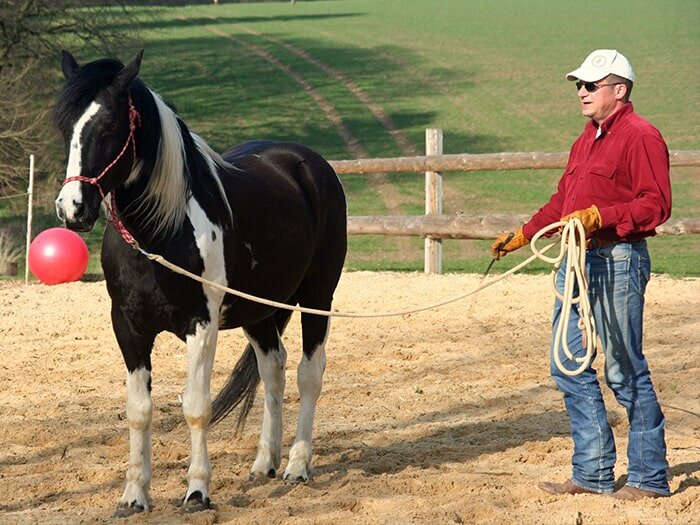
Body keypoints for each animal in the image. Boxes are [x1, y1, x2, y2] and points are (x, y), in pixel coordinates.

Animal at [54, 50, 347, 516]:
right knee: (273, 370)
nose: (72, 209)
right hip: (259, 311)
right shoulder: (128, 327)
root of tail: (310, 165)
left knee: (308, 374)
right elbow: (138, 410)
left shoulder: (201, 326)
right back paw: (264, 463)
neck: (161, 229)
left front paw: (197, 491)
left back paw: (298, 466)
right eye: (66, 127)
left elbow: (195, 407)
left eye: (109, 125)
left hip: (318, 297)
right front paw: (134, 496)